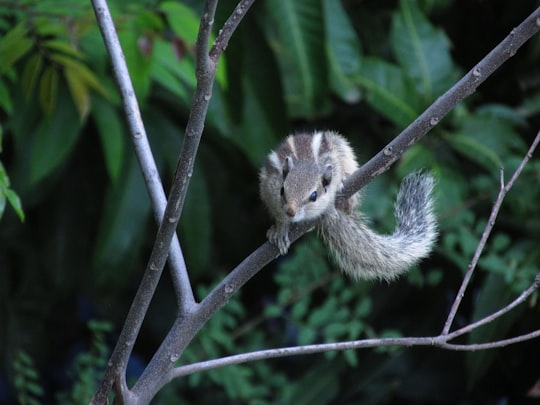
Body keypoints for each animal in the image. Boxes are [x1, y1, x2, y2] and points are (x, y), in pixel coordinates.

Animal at [260, 131, 436, 280]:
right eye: (282, 190)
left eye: (314, 195)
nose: (290, 212)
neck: (305, 163)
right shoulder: (269, 189)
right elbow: (278, 215)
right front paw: (281, 229)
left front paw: (330, 205)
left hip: (344, 149)